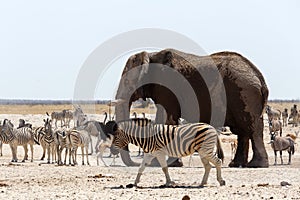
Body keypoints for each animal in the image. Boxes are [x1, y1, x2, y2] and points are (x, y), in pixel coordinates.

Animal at [115, 48, 270, 167]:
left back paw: (255, 165)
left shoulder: (168, 88)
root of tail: (260, 79)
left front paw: (163, 164)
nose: (134, 163)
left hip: (245, 93)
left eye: (127, 81)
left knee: (252, 128)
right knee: (243, 130)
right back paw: (237, 165)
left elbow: (166, 118)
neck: (151, 56)